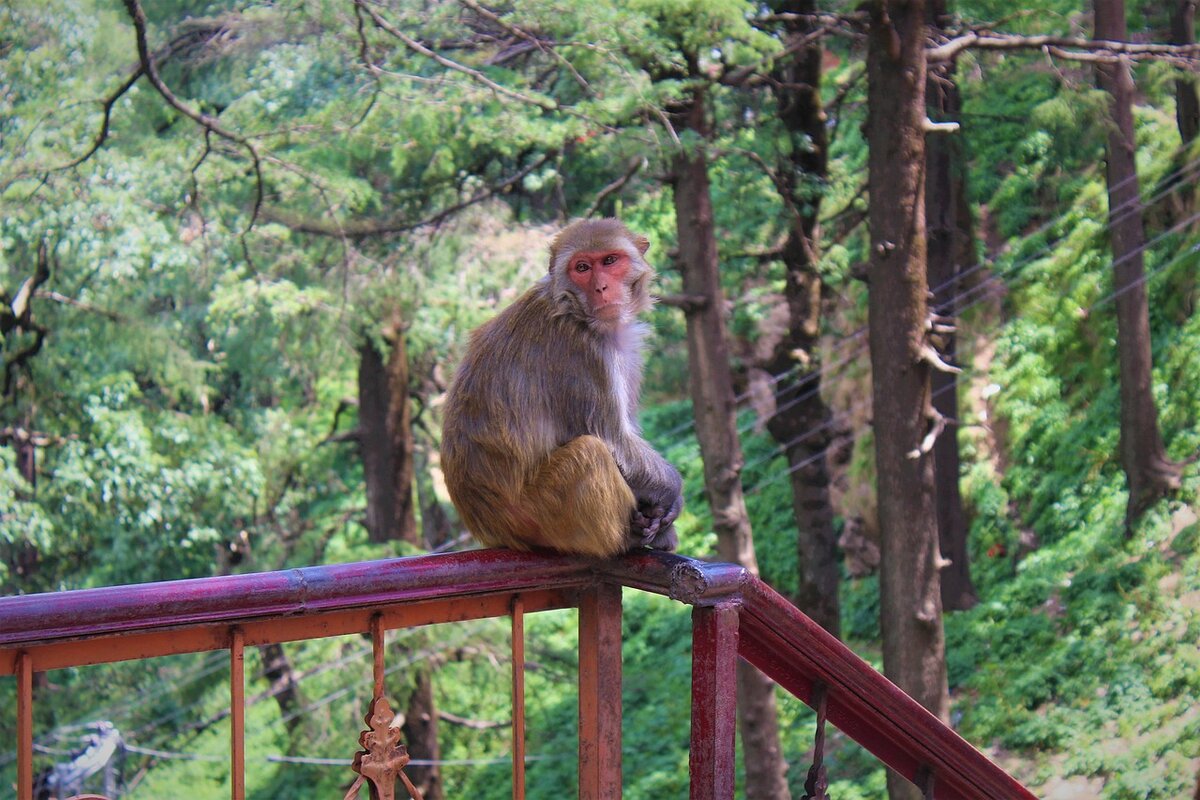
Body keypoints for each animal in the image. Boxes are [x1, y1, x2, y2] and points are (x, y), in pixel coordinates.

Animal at [441, 219, 686, 556]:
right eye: (582, 267)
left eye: (610, 261)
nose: (601, 288)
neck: (573, 309)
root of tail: (492, 529)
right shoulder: (579, 353)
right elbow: (613, 438)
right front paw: (673, 491)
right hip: (538, 514)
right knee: (589, 452)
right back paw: (629, 538)